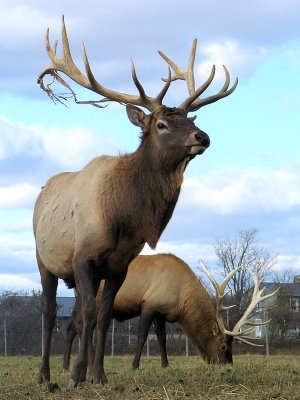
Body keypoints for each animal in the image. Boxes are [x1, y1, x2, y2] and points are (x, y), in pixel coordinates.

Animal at [33, 16, 237, 388]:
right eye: (161, 124)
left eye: (191, 120)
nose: (203, 137)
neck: (123, 219)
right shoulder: (83, 258)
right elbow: (87, 314)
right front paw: (76, 376)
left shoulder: (118, 266)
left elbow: (102, 316)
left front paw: (98, 375)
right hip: (45, 260)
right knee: (51, 312)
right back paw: (46, 375)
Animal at [62, 255, 278, 370]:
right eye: (223, 346)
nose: (228, 365)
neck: (180, 300)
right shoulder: (149, 304)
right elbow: (142, 336)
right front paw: (134, 365)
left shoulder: (161, 313)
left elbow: (162, 338)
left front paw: (165, 365)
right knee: (78, 326)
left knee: (72, 327)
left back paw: (66, 365)